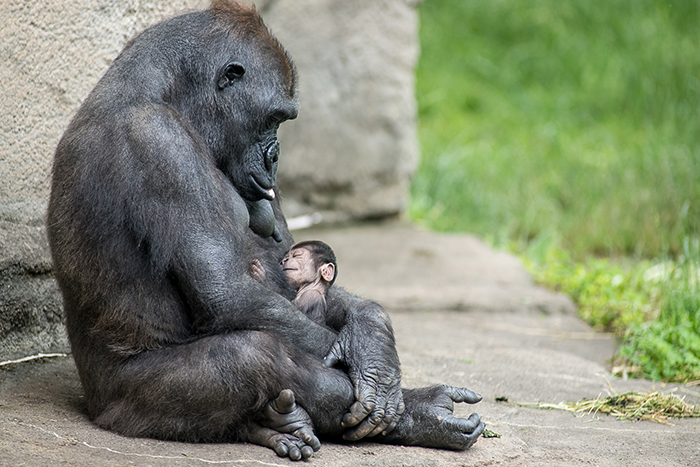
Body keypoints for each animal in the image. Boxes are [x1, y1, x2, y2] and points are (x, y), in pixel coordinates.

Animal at [45, 0, 482, 460]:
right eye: (274, 117)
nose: (276, 155)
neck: (164, 92)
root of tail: (94, 404)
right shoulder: (158, 141)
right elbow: (226, 291)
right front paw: (376, 370)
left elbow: (300, 264)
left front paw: (372, 337)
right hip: (125, 404)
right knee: (252, 354)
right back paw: (417, 413)